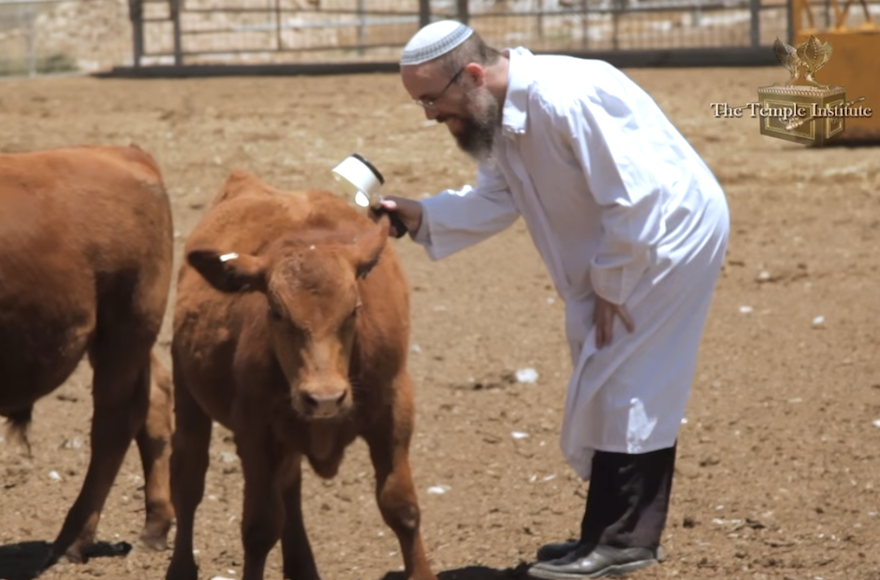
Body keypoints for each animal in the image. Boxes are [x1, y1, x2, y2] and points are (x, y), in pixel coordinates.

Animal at [0, 146, 177, 568]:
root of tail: (123, 153)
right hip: (129, 342)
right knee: (154, 402)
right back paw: (155, 529)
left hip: (125, 332)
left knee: (113, 427)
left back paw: (72, 541)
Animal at [166, 169, 436, 580]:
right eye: (276, 312)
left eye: (354, 308)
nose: (325, 398)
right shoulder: (255, 431)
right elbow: (259, 527)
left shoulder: (394, 410)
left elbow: (401, 507)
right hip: (187, 391)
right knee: (189, 479)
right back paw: (181, 566)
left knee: (289, 487)